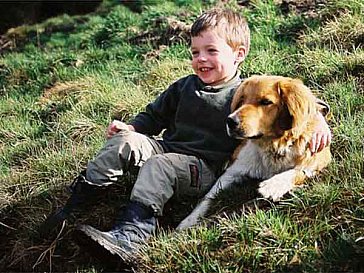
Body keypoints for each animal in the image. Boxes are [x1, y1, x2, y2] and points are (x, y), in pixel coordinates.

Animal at [178, 75, 332, 230]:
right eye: (242, 100)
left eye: (266, 102)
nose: (230, 121)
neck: (272, 145)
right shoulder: (234, 171)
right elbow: (207, 197)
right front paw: (188, 220)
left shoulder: (319, 157)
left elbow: (297, 171)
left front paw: (273, 185)